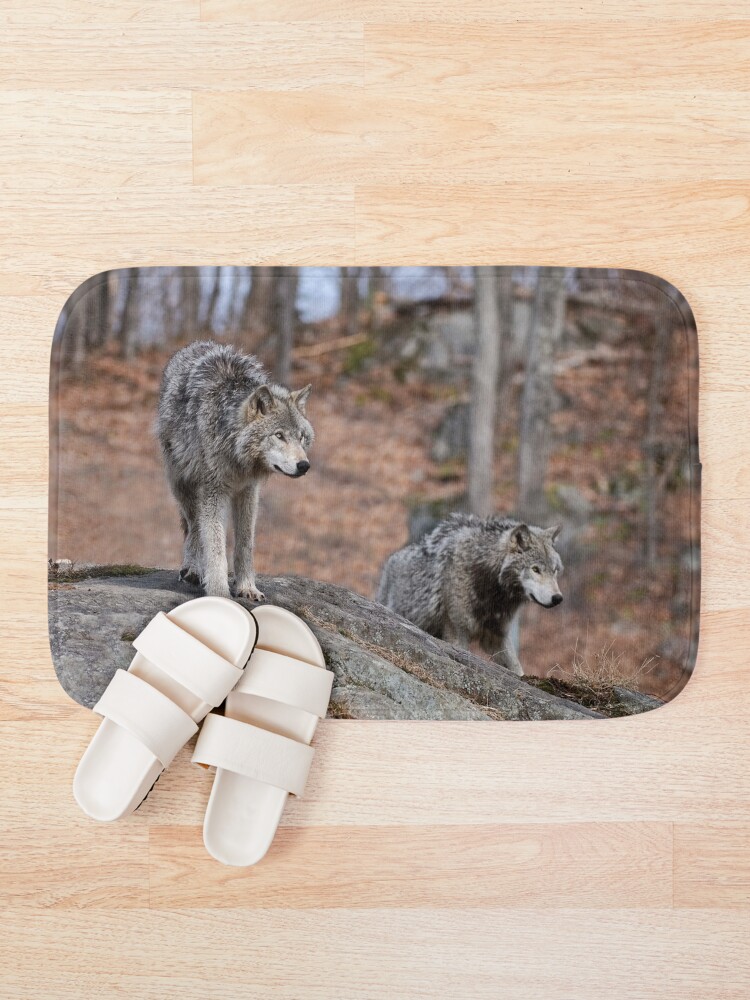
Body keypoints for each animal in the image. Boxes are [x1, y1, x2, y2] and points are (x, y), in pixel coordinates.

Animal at [157, 340, 314, 601]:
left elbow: (244, 545)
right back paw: (192, 569)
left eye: (301, 437)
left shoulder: (248, 491)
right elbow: (216, 547)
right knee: (193, 527)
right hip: (184, 485)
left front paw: (247, 587)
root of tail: (197, 343)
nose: (304, 465)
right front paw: (220, 593)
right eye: (279, 435)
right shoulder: (213, 493)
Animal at [376, 513, 563, 675]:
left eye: (554, 570)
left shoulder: (497, 637)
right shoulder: (458, 633)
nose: (558, 598)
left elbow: (517, 669)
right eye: (535, 569)